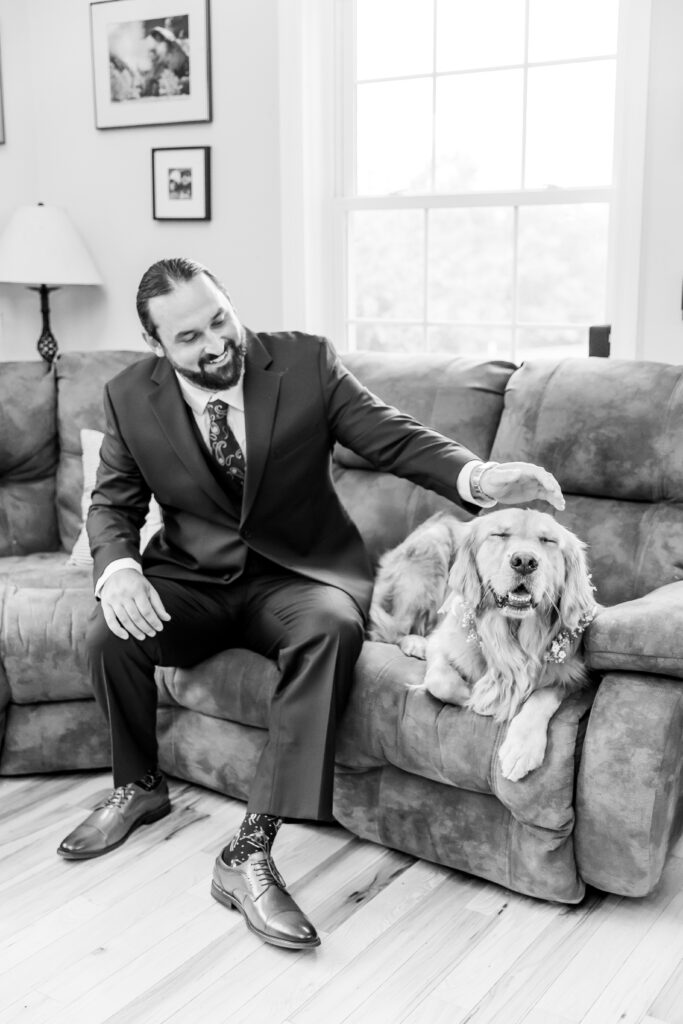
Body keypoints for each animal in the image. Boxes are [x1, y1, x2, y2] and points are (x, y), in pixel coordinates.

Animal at [368, 507, 598, 778]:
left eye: (548, 540)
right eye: (499, 534)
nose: (524, 561)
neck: (511, 633)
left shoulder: (575, 676)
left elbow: (542, 696)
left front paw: (522, 748)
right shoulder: (442, 642)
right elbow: (439, 679)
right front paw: (470, 695)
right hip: (431, 546)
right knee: (392, 630)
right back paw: (416, 643)